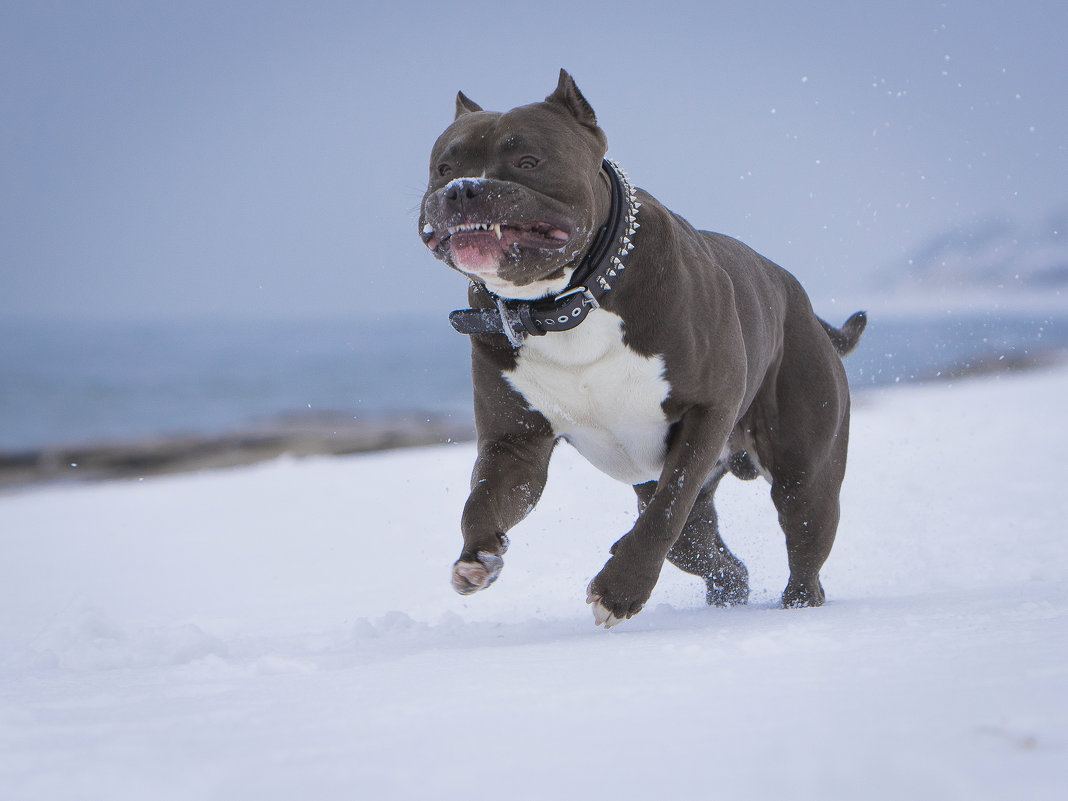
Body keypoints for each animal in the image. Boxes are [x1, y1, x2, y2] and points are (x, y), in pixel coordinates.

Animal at [418, 72, 867, 632]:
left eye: (528, 160)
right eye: (443, 168)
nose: (463, 189)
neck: (564, 305)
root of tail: (803, 304)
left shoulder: (705, 415)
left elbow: (665, 512)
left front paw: (620, 591)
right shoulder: (514, 444)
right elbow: (482, 500)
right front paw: (477, 557)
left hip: (805, 476)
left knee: (801, 545)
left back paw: (797, 607)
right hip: (697, 524)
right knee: (718, 562)